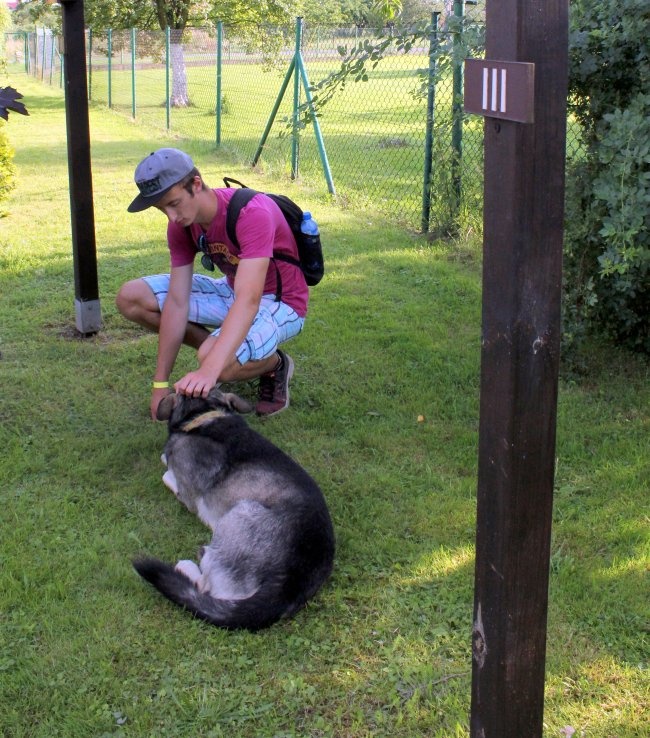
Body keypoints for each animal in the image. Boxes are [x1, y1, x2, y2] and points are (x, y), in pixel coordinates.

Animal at [132, 386, 334, 628]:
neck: (204, 415)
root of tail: (288, 585)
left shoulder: (187, 493)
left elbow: (166, 474)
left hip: (239, 513)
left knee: (206, 588)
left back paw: (187, 566)